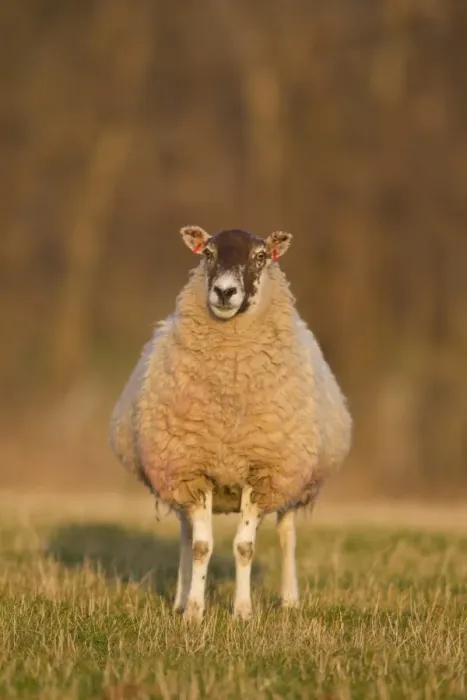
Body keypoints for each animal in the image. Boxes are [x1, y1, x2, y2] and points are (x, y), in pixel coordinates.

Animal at [109, 226, 352, 621]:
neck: (230, 380)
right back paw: (179, 600)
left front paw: (242, 612)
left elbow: (244, 547)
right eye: (207, 253)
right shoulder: (193, 470)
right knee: (186, 535)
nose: (224, 291)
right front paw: (193, 611)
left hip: (292, 482)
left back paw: (289, 601)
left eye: (260, 256)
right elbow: (201, 547)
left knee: (286, 533)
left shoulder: (262, 472)